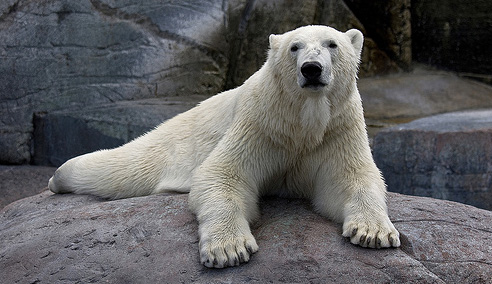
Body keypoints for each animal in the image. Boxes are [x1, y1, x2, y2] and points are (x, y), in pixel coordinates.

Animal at [49, 25, 400, 268]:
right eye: (294, 47)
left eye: (332, 44)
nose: (311, 68)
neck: (303, 121)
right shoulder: (260, 122)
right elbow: (223, 174)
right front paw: (229, 249)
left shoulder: (338, 127)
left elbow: (350, 178)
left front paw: (374, 232)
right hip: (176, 141)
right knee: (123, 167)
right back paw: (58, 176)